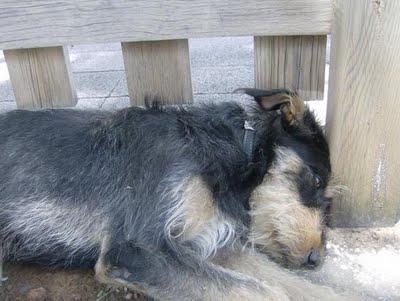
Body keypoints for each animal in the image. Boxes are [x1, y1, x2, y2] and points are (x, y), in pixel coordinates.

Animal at [0, 89, 346, 300]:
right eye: (316, 180)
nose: (316, 260)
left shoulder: (209, 242)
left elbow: (296, 285)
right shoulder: (135, 248)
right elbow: (263, 291)